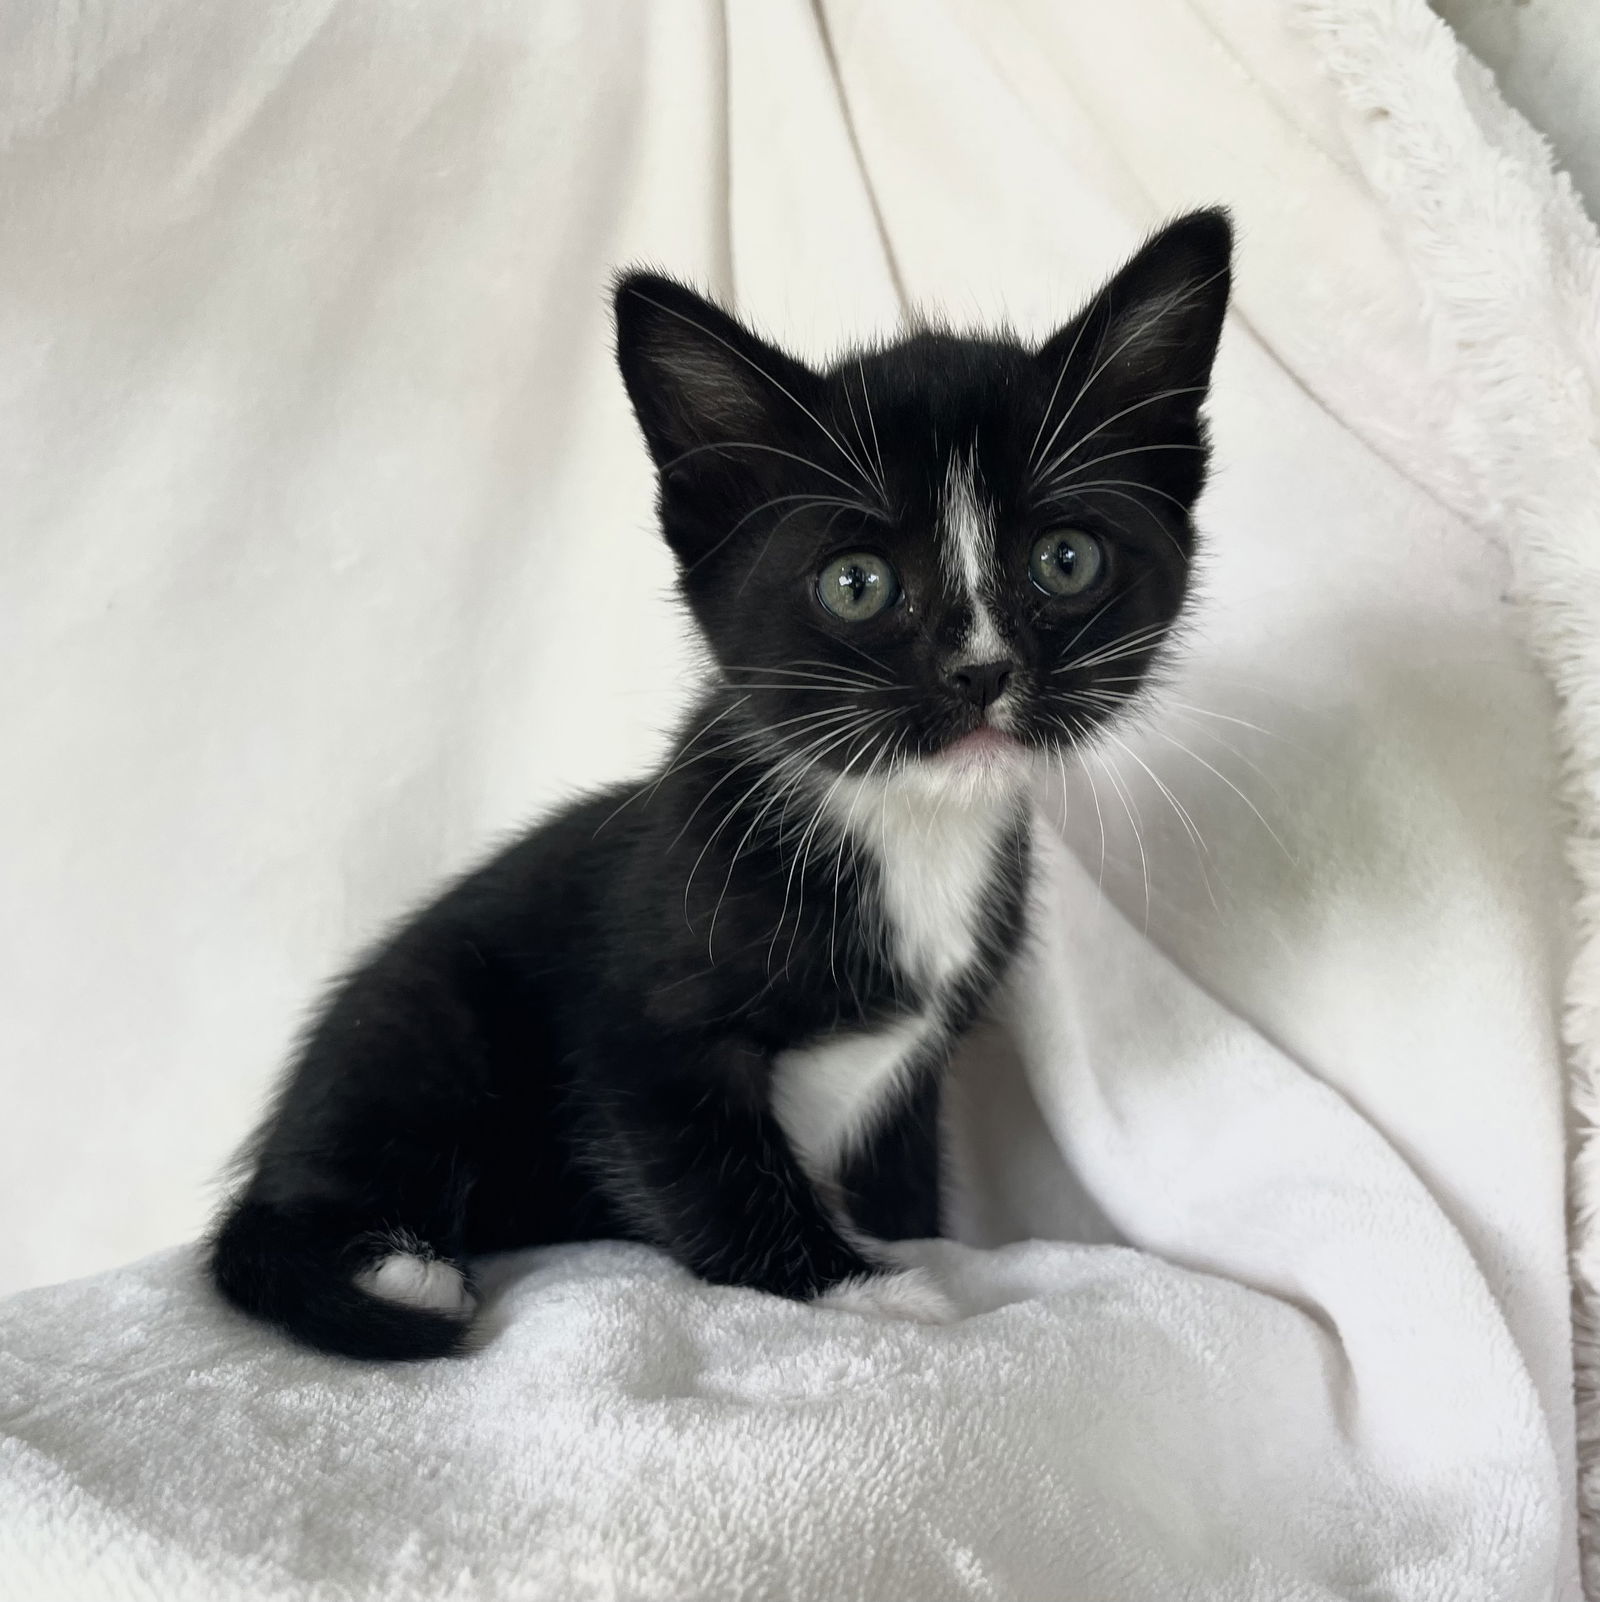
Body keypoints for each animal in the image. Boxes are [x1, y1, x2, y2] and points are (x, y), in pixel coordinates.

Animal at [209, 206, 1236, 1358]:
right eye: (856, 585)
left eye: (1065, 560)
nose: (981, 672)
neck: (902, 823)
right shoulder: (642, 1024)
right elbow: (709, 1165)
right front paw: (860, 1289)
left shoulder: (913, 1071)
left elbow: (902, 1183)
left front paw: (912, 1250)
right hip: (416, 1016)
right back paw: (397, 1266)